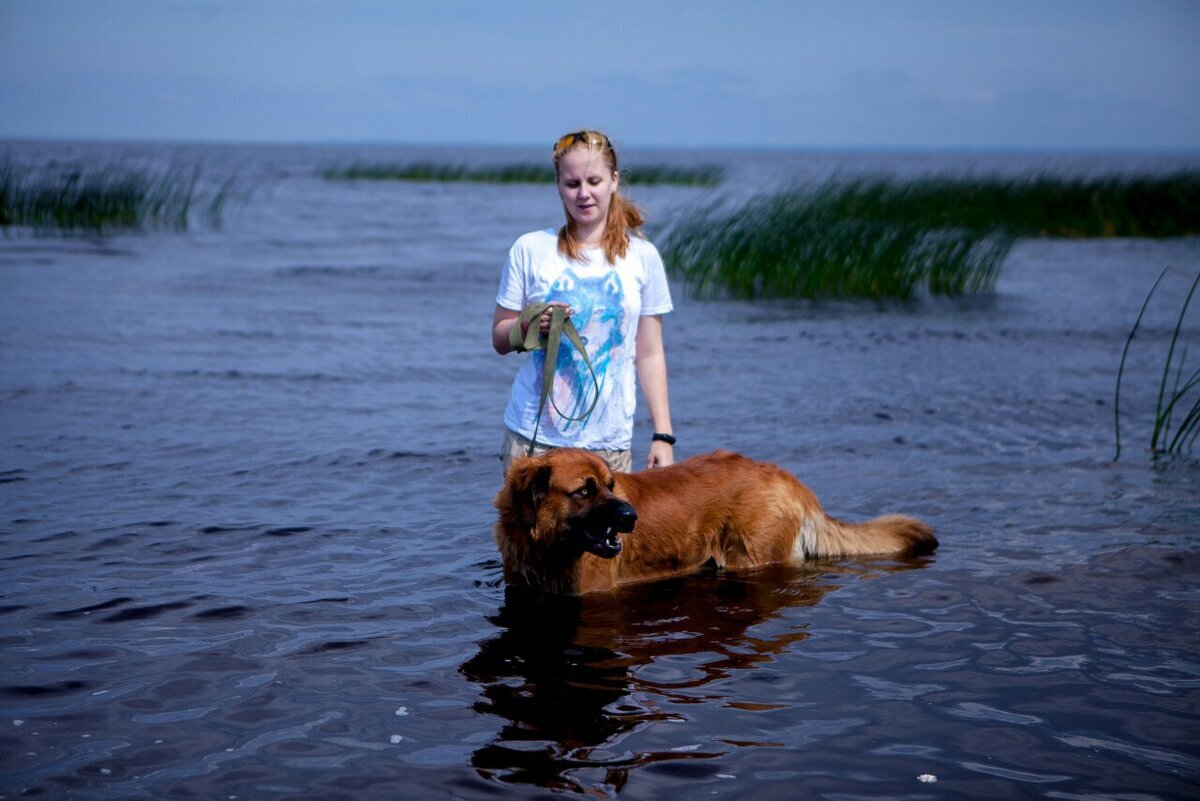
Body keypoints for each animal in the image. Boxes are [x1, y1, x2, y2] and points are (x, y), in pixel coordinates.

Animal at [489, 450, 936, 594]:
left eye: (612, 486)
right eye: (585, 491)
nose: (631, 515)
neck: (543, 546)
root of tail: (789, 480)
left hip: (752, 556)